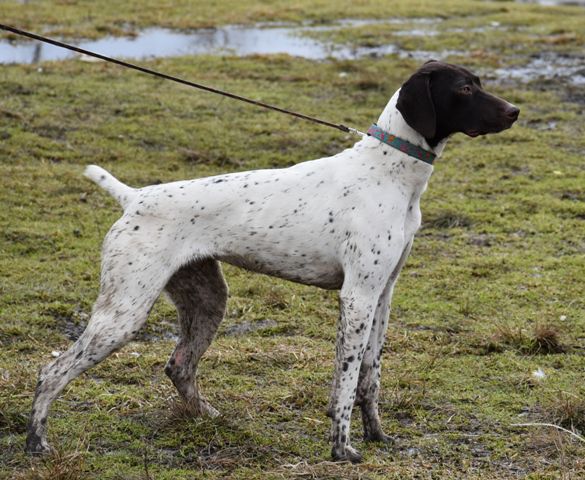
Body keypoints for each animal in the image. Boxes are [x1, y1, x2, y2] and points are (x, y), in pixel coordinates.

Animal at [26, 60, 520, 462]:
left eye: (478, 83)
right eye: (464, 89)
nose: (515, 111)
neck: (390, 171)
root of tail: (134, 198)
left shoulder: (382, 296)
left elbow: (370, 378)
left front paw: (378, 435)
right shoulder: (357, 297)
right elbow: (345, 382)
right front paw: (341, 448)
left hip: (208, 301)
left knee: (179, 365)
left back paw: (214, 418)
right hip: (123, 314)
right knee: (51, 371)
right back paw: (37, 442)